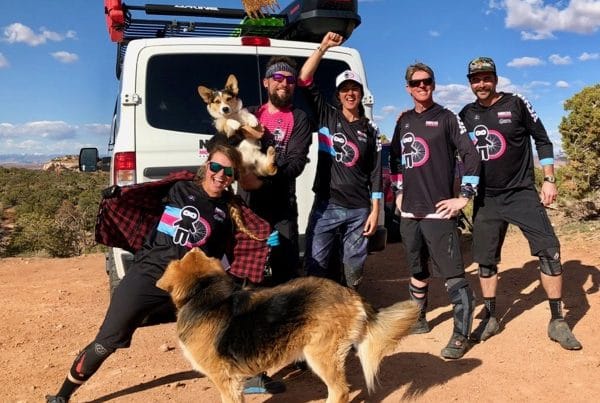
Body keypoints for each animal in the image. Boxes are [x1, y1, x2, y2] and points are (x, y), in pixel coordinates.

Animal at [156, 248, 420, 403]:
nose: (193, 245)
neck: (203, 291)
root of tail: (349, 293)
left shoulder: (225, 381)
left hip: (320, 354)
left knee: (340, 391)